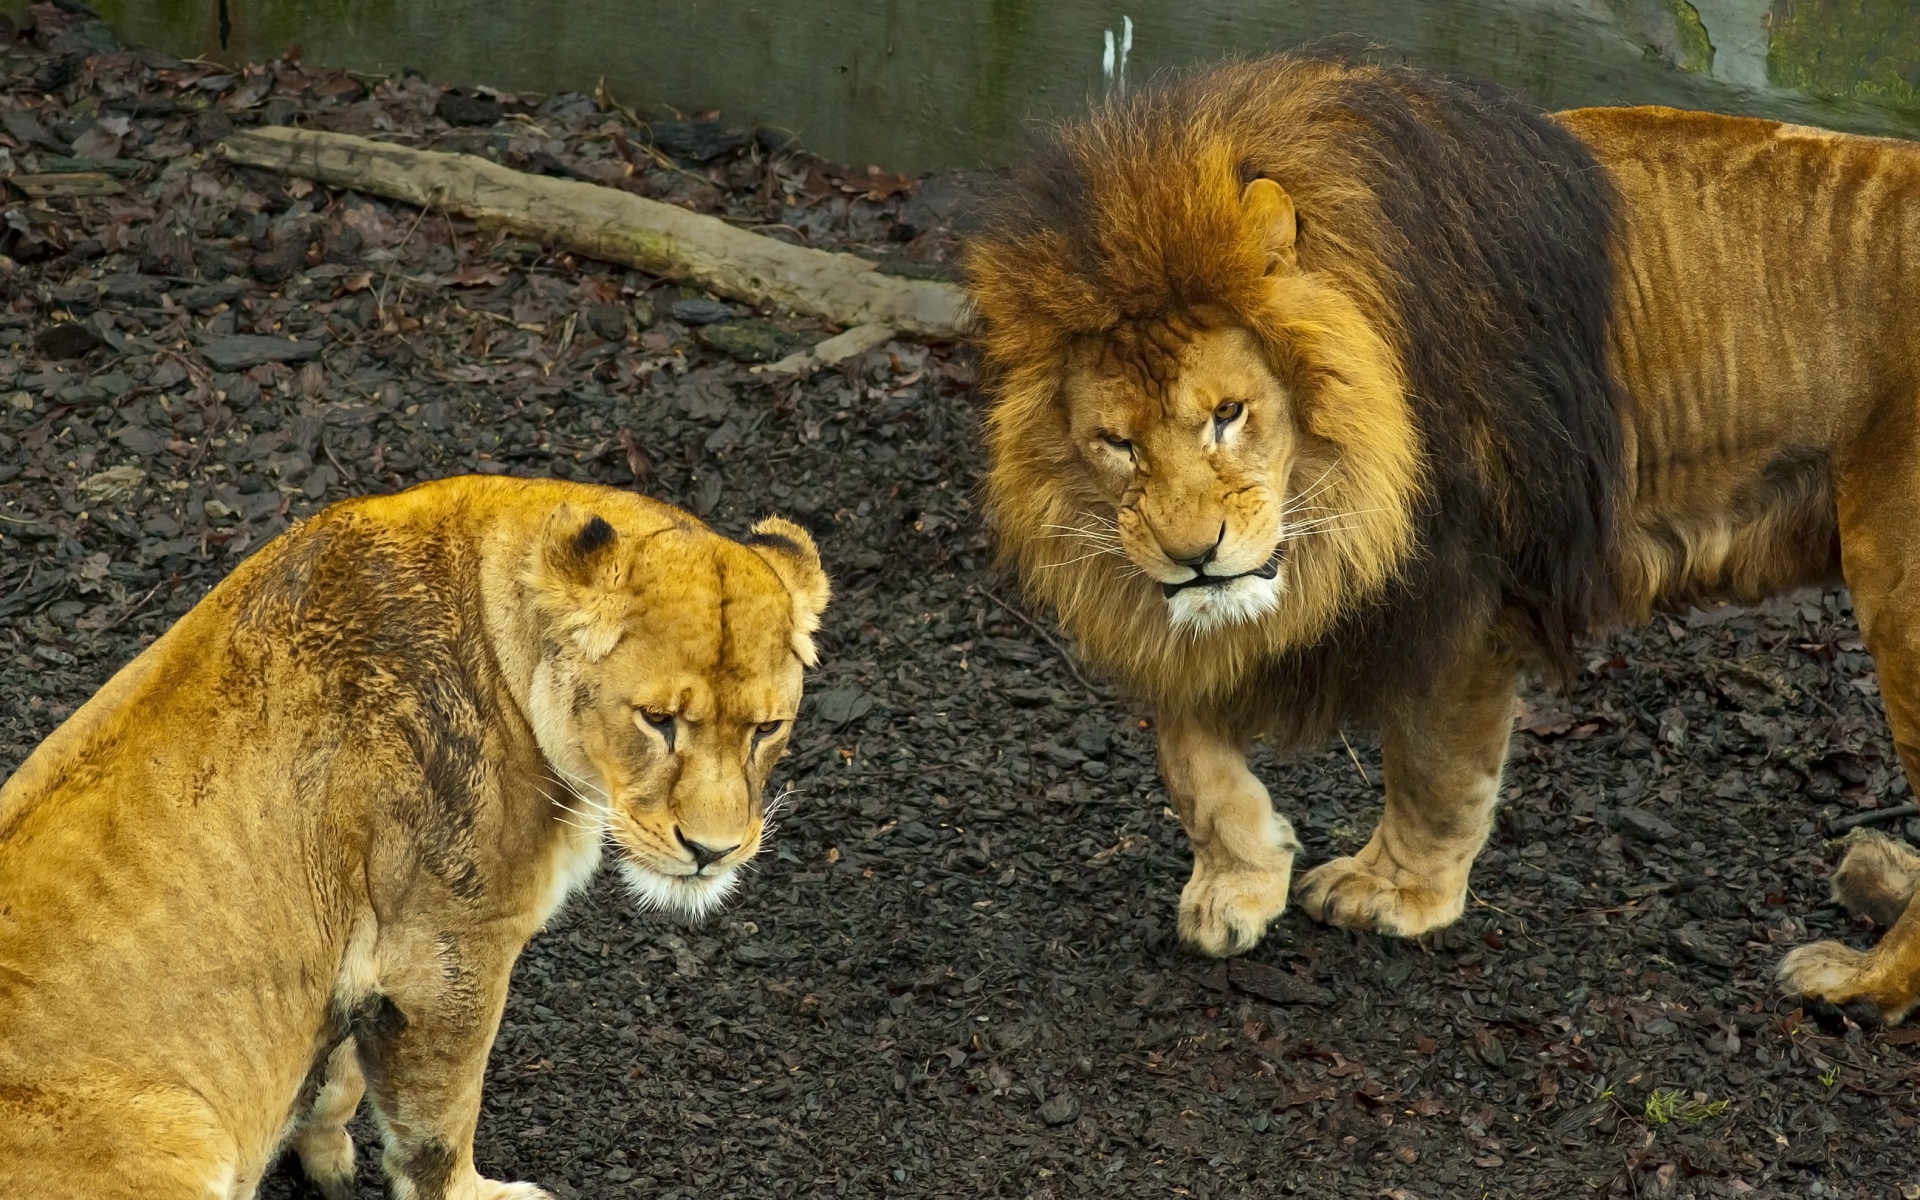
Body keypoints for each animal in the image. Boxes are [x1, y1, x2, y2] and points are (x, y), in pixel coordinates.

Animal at [0, 475, 829, 1199]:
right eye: (657, 720)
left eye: (767, 729)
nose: (712, 851)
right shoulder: (445, 947)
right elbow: (439, 1116)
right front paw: (470, 1192)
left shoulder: (361, 948)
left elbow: (339, 1077)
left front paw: (324, 1152)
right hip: (179, 1124)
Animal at [965, 54, 1920, 1021]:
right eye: (1116, 444)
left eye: (1228, 414)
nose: (1192, 553)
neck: (1348, 482)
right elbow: (1186, 751)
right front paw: (1239, 882)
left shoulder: (1467, 592)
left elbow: (1434, 766)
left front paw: (1396, 891)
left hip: (1901, 602)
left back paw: (1860, 979)